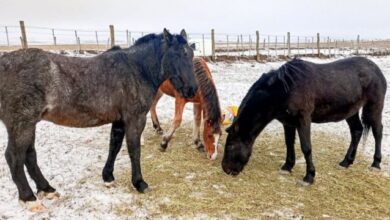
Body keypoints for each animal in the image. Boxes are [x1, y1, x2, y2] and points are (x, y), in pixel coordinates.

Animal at [0, 29, 197, 211]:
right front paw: (139, 183)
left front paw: (108, 177)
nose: (192, 89)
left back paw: (46, 189)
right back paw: (29, 198)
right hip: (22, 124)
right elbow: (134, 150)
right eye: (176, 54)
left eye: (191, 53)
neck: (136, 70)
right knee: (14, 156)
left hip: (29, 124)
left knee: (29, 155)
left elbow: (114, 146)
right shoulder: (135, 119)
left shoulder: (119, 120)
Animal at [222, 56, 386, 186]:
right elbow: (289, 143)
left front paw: (309, 176)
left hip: (374, 107)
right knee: (357, 131)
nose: (225, 169)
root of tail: (376, 70)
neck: (285, 89)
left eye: (230, 145)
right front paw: (287, 167)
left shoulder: (303, 120)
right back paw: (346, 162)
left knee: (377, 132)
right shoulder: (287, 122)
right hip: (351, 111)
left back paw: (376, 163)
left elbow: (306, 147)